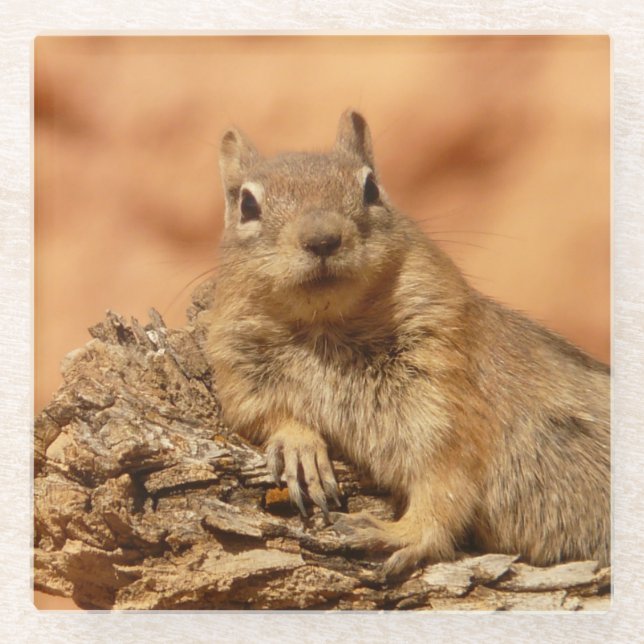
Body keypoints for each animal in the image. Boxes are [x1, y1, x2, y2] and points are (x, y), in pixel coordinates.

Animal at [207, 109, 610, 578]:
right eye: (247, 205)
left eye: (371, 188)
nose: (322, 239)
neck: (326, 328)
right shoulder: (239, 371)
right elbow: (259, 414)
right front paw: (298, 445)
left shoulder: (446, 396)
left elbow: (445, 482)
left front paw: (400, 533)